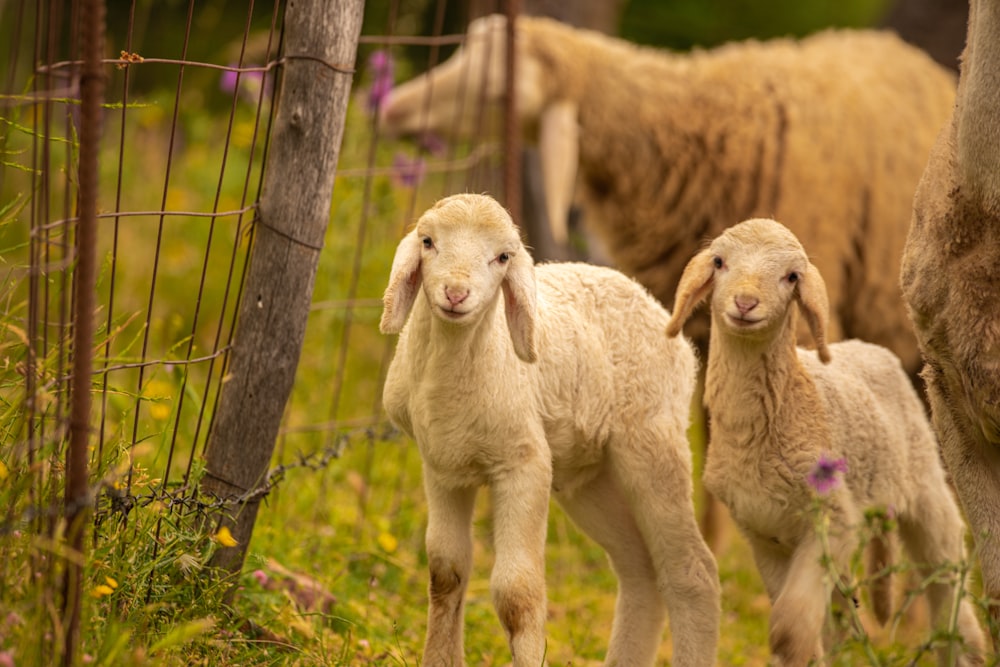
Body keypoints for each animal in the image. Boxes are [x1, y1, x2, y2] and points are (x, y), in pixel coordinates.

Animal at [380, 190, 720, 664]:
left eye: (503, 257)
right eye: (428, 242)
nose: (455, 293)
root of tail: (662, 313)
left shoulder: (525, 463)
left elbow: (516, 594)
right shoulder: (443, 468)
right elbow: (446, 573)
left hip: (653, 443)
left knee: (692, 572)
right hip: (591, 479)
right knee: (640, 571)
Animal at [664, 219, 984, 667]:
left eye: (791, 277)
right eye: (719, 262)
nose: (745, 302)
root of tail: (868, 347)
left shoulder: (833, 518)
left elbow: (790, 629)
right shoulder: (763, 534)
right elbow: (800, 622)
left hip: (926, 487)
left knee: (946, 580)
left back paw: (964, 649)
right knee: (844, 613)